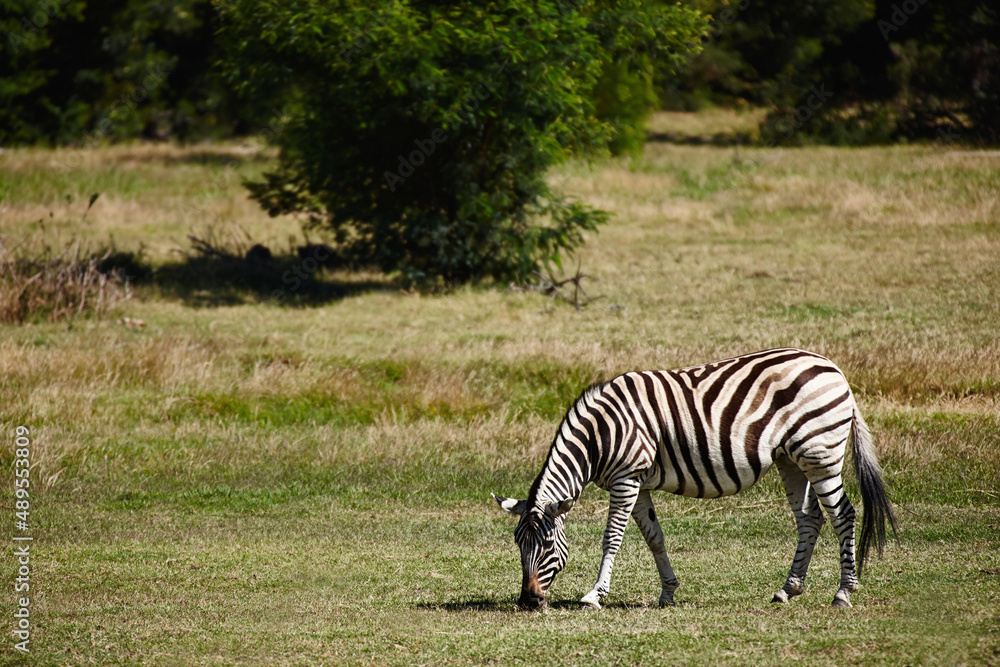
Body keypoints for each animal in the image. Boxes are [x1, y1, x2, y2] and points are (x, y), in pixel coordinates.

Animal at [492, 350, 900, 612]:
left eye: (547, 544)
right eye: (517, 543)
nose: (528, 601)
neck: (599, 436)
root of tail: (833, 368)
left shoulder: (626, 479)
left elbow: (612, 538)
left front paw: (595, 595)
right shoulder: (638, 482)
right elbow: (654, 538)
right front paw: (668, 593)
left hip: (819, 452)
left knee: (842, 514)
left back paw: (843, 593)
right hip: (790, 458)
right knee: (810, 518)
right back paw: (788, 590)